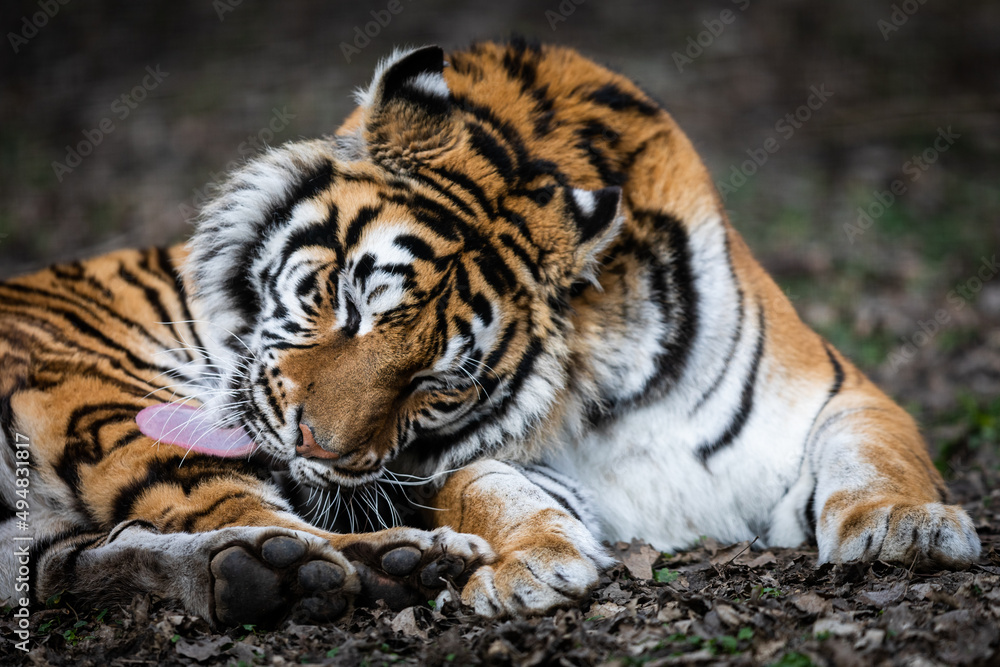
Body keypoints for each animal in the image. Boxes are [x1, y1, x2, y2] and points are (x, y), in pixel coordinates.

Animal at [0, 39, 980, 628]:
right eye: (345, 298)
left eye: (440, 382)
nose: (320, 448)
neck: (605, 375)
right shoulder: (466, 469)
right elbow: (492, 489)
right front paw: (530, 564)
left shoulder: (840, 392)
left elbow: (873, 453)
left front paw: (903, 527)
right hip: (99, 399)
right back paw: (383, 566)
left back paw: (265, 575)